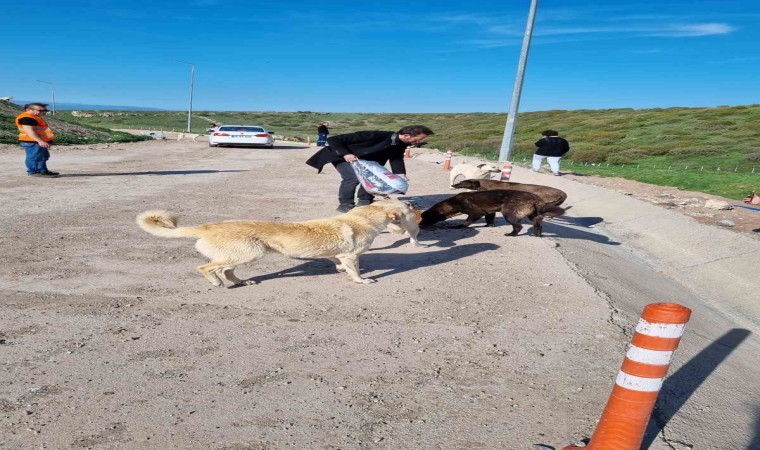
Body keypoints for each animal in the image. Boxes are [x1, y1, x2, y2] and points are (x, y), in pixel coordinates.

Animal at [137, 200, 422, 286]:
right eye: (406, 206)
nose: (414, 203)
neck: (365, 217)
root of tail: (208, 226)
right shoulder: (352, 256)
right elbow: (356, 271)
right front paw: (362, 280)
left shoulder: (340, 255)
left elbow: (337, 262)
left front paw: (340, 270)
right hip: (249, 253)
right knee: (207, 268)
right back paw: (216, 282)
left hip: (245, 254)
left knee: (226, 269)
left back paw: (241, 282)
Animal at [418, 190, 568, 237]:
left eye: (426, 218)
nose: (420, 226)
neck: (452, 203)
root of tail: (537, 199)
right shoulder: (488, 212)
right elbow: (489, 219)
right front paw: (488, 226)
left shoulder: (475, 212)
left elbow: (467, 222)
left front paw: (459, 226)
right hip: (534, 216)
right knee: (539, 226)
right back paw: (537, 235)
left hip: (508, 212)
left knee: (518, 226)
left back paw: (511, 234)